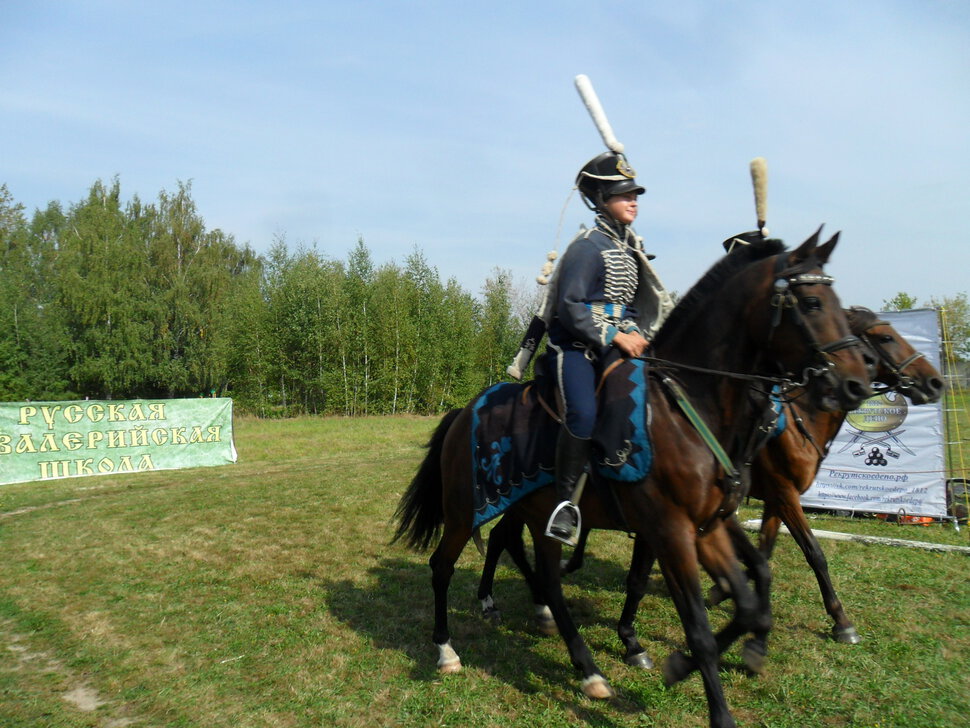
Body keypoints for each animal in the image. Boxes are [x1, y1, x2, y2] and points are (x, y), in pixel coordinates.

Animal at [394, 232, 868, 728]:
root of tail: (464, 411)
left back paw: (585, 667)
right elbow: (698, 626)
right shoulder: (671, 531)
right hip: (463, 513)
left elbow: (750, 602)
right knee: (443, 566)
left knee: (547, 580)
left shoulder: (709, 527)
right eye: (812, 302)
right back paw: (447, 650)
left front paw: (687, 661)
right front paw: (707, 695)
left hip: (537, 516)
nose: (856, 384)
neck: (688, 407)